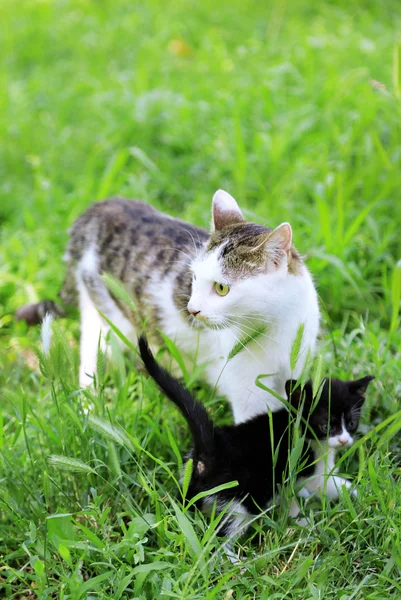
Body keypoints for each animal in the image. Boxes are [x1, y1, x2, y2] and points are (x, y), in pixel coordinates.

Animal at [16, 191, 318, 422]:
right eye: (194, 278)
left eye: (221, 288)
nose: (192, 309)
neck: (279, 326)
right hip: (101, 317)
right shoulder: (250, 395)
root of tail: (96, 209)